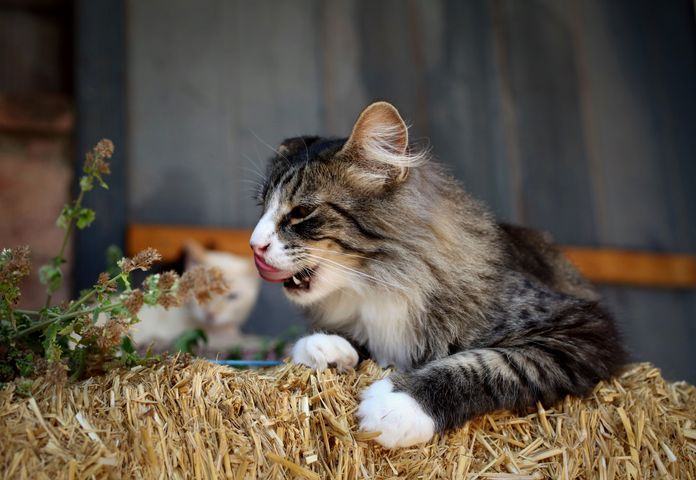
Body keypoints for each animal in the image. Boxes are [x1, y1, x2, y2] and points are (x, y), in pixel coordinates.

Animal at [250, 102, 624, 450]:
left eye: (301, 211)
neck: (384, 285)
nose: (255, 245)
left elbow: (486, 364)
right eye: (262, 208)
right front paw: (326, 347)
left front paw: (398, 406)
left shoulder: (582, 329)